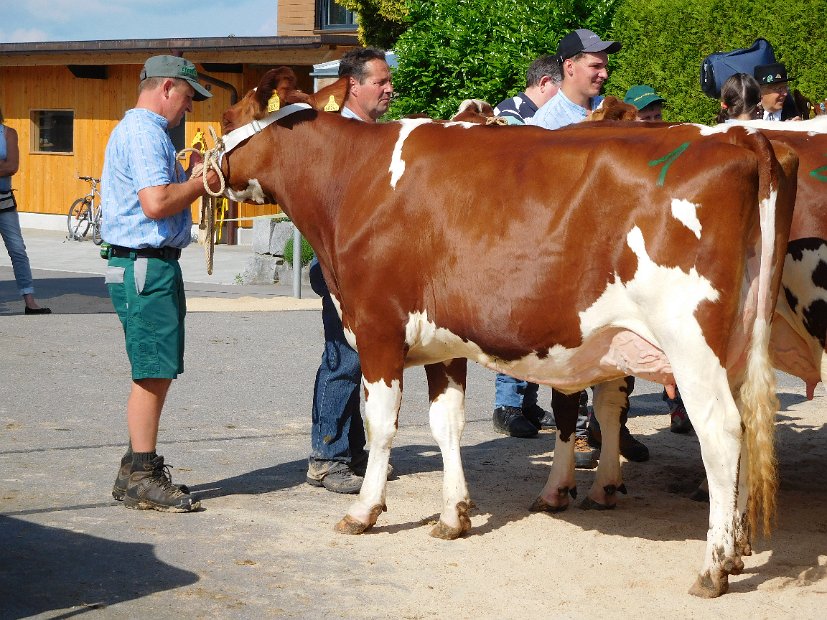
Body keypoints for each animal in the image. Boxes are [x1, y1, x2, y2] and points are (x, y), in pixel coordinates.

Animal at [217, 70, 800, 600]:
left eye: (225, 120)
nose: (198, 168)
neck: (353, 181)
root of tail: (738, 137)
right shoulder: (443, 339)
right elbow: (446, 424)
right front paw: (453, 515)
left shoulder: (379, 327)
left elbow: (380, 425)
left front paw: (364, 509)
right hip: (740, 341)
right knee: (745, 422)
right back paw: (739, 546)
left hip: (691, 342)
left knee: (721, 433)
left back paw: (714, 566)